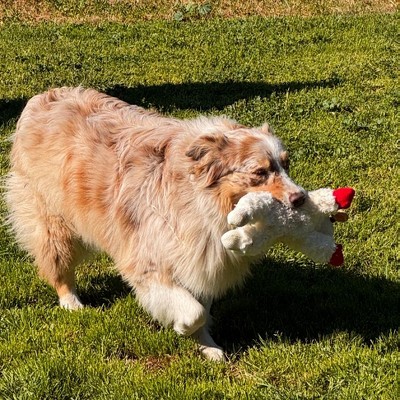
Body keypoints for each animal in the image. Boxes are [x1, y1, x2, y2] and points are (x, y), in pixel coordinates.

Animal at [5, 87, 305, 360]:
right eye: (260, 172)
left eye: (287, 164)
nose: (301, 198)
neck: (204, 198)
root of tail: (42, 96)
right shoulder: (149, 260)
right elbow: (194, 311)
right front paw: (183, 327)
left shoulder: (201, 257)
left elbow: (202, 306)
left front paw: (207, 346)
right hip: (52, 220)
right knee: (57, 262)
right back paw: (71, 302)